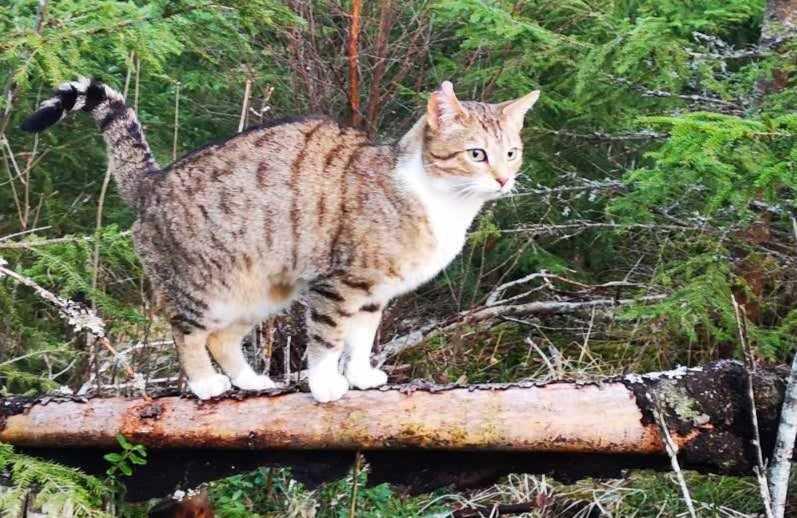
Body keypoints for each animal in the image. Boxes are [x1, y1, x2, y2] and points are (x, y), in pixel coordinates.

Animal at [22, 78, 539, 402]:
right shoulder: (337, 284)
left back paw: (251, 381)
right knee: (187, 331)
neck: (435, 198)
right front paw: (326, 386)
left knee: (224, 338)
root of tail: (152, 182)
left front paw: (361, 376)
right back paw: (206, 384)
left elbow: (362, 338)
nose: (503, 180)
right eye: (476, 154)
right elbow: (328, 340)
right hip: (204, 287)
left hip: (259, 290)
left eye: (512, 153)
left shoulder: (374, 294)